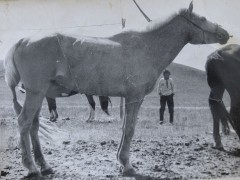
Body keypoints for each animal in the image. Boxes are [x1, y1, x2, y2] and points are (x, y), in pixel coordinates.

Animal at [4, 1, 229, 179]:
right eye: (202, 18)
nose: (225, 34)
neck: (147, 47)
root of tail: (22, 41)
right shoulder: (135, 97)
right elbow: (129, 129)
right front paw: (127, 165)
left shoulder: (129, 98)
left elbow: (124, 127)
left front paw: (121, 162)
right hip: (35, 93)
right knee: (24, 123)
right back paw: (32, 168)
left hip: (39, 94)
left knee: (33, 126)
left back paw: (45, 166)